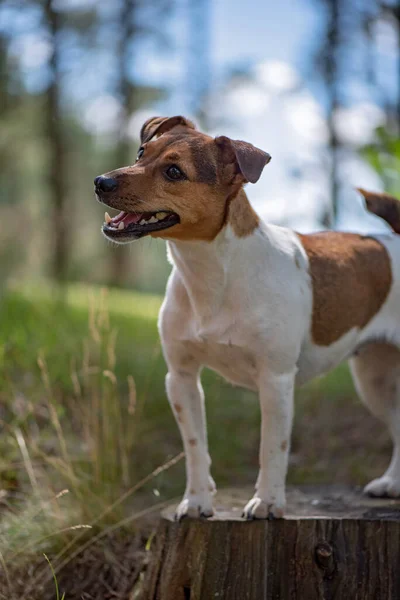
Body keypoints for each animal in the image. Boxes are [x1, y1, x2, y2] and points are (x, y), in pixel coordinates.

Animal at [94, 117, 400, 520]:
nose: (101, 182)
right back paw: (391, 483)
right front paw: (196, 501)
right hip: (375, 380)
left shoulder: (276, 380)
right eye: (141, 153)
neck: (213, 273)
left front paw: (267, 502)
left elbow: (272, 449)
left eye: (174, 172)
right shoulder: (181, 377)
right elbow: (195, 448)